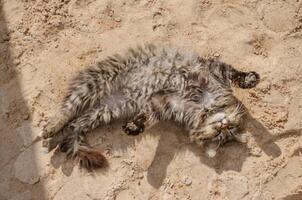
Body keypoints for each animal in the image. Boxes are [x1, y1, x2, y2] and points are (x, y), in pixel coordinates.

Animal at [42, 43, 260, 170]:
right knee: (68, 109)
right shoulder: (213, 70)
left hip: (106, 110)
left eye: (225, 133)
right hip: (97, 82)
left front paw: (132, 128)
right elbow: (235, 74)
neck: (203, 105)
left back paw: (53, 142)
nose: (223, 124)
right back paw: (50, 129)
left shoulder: (161, 105)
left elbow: (145, 120)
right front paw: (251, 79)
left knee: (75, 125)